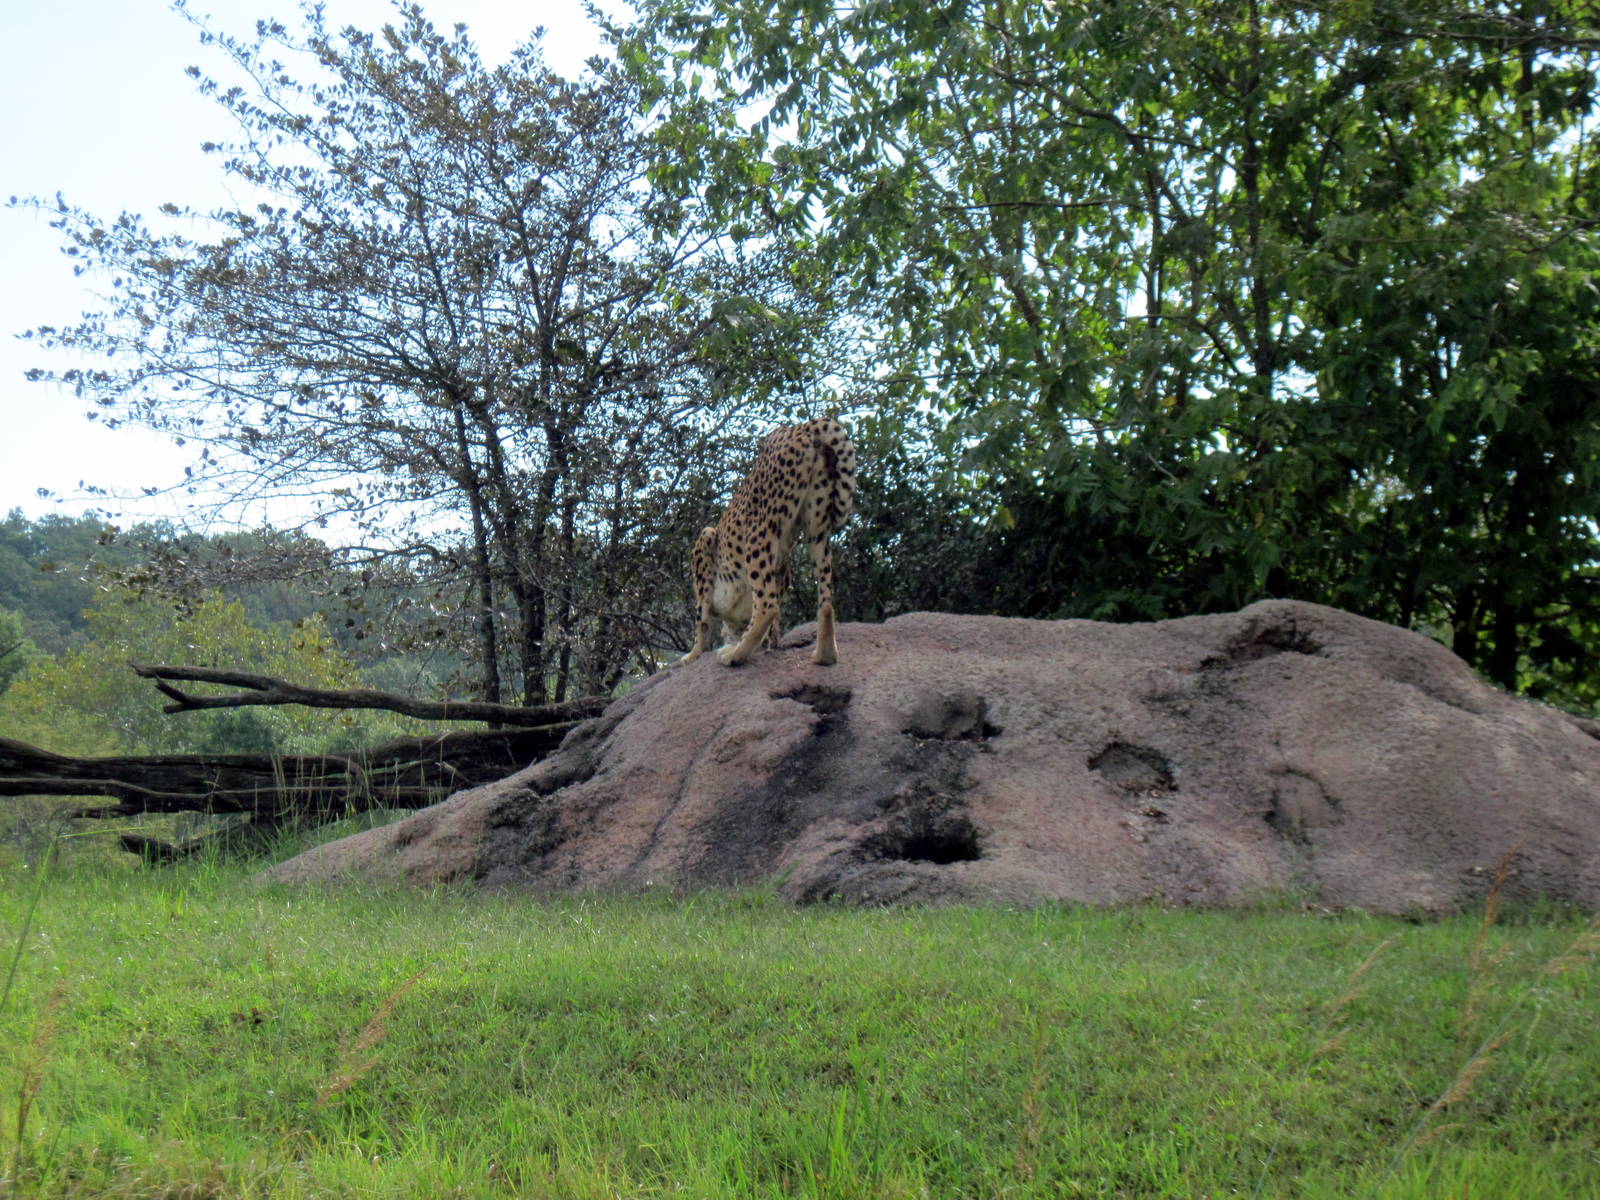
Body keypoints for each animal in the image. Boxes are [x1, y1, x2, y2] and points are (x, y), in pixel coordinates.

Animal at [676, 415, 857, 668]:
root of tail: (799, 427)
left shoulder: (706, 542)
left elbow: (701, 619)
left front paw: (693, 654)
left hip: (757, 531)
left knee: (767, 606)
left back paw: (735, 655)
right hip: (817, 527)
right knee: (825, 600)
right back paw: (825, 655)